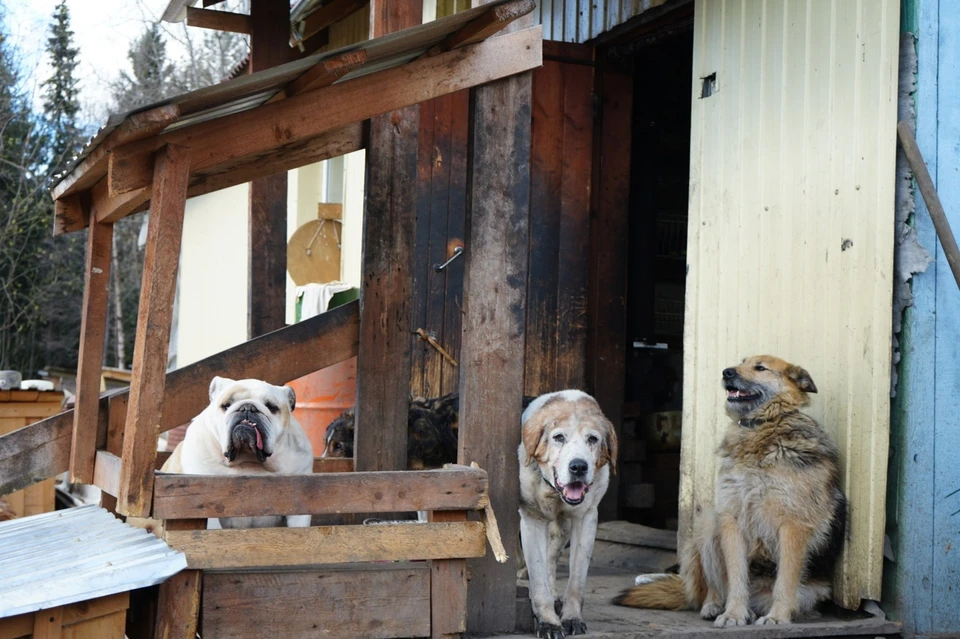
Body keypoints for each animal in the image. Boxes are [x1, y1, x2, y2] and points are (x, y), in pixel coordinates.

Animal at [520, 390, 620, 639]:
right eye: (559, 437)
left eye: (592, 439)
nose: (578, 467)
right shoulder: (532, 520)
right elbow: (538, 578)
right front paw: (548, 622)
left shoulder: (586, 520)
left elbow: (576, 579)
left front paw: (571, 618)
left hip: (562, 530)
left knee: (551, 557)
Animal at [620, 358, 844, 628]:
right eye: (741, 362)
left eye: (760, 367)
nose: (726, 372)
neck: (762, 426)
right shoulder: (732, 520)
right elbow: (736, 578)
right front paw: (734, 614)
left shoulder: (794, 525)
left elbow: (785, 581)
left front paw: (777, 617)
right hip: (709, 523)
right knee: (712, 587)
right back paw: (716, 606)